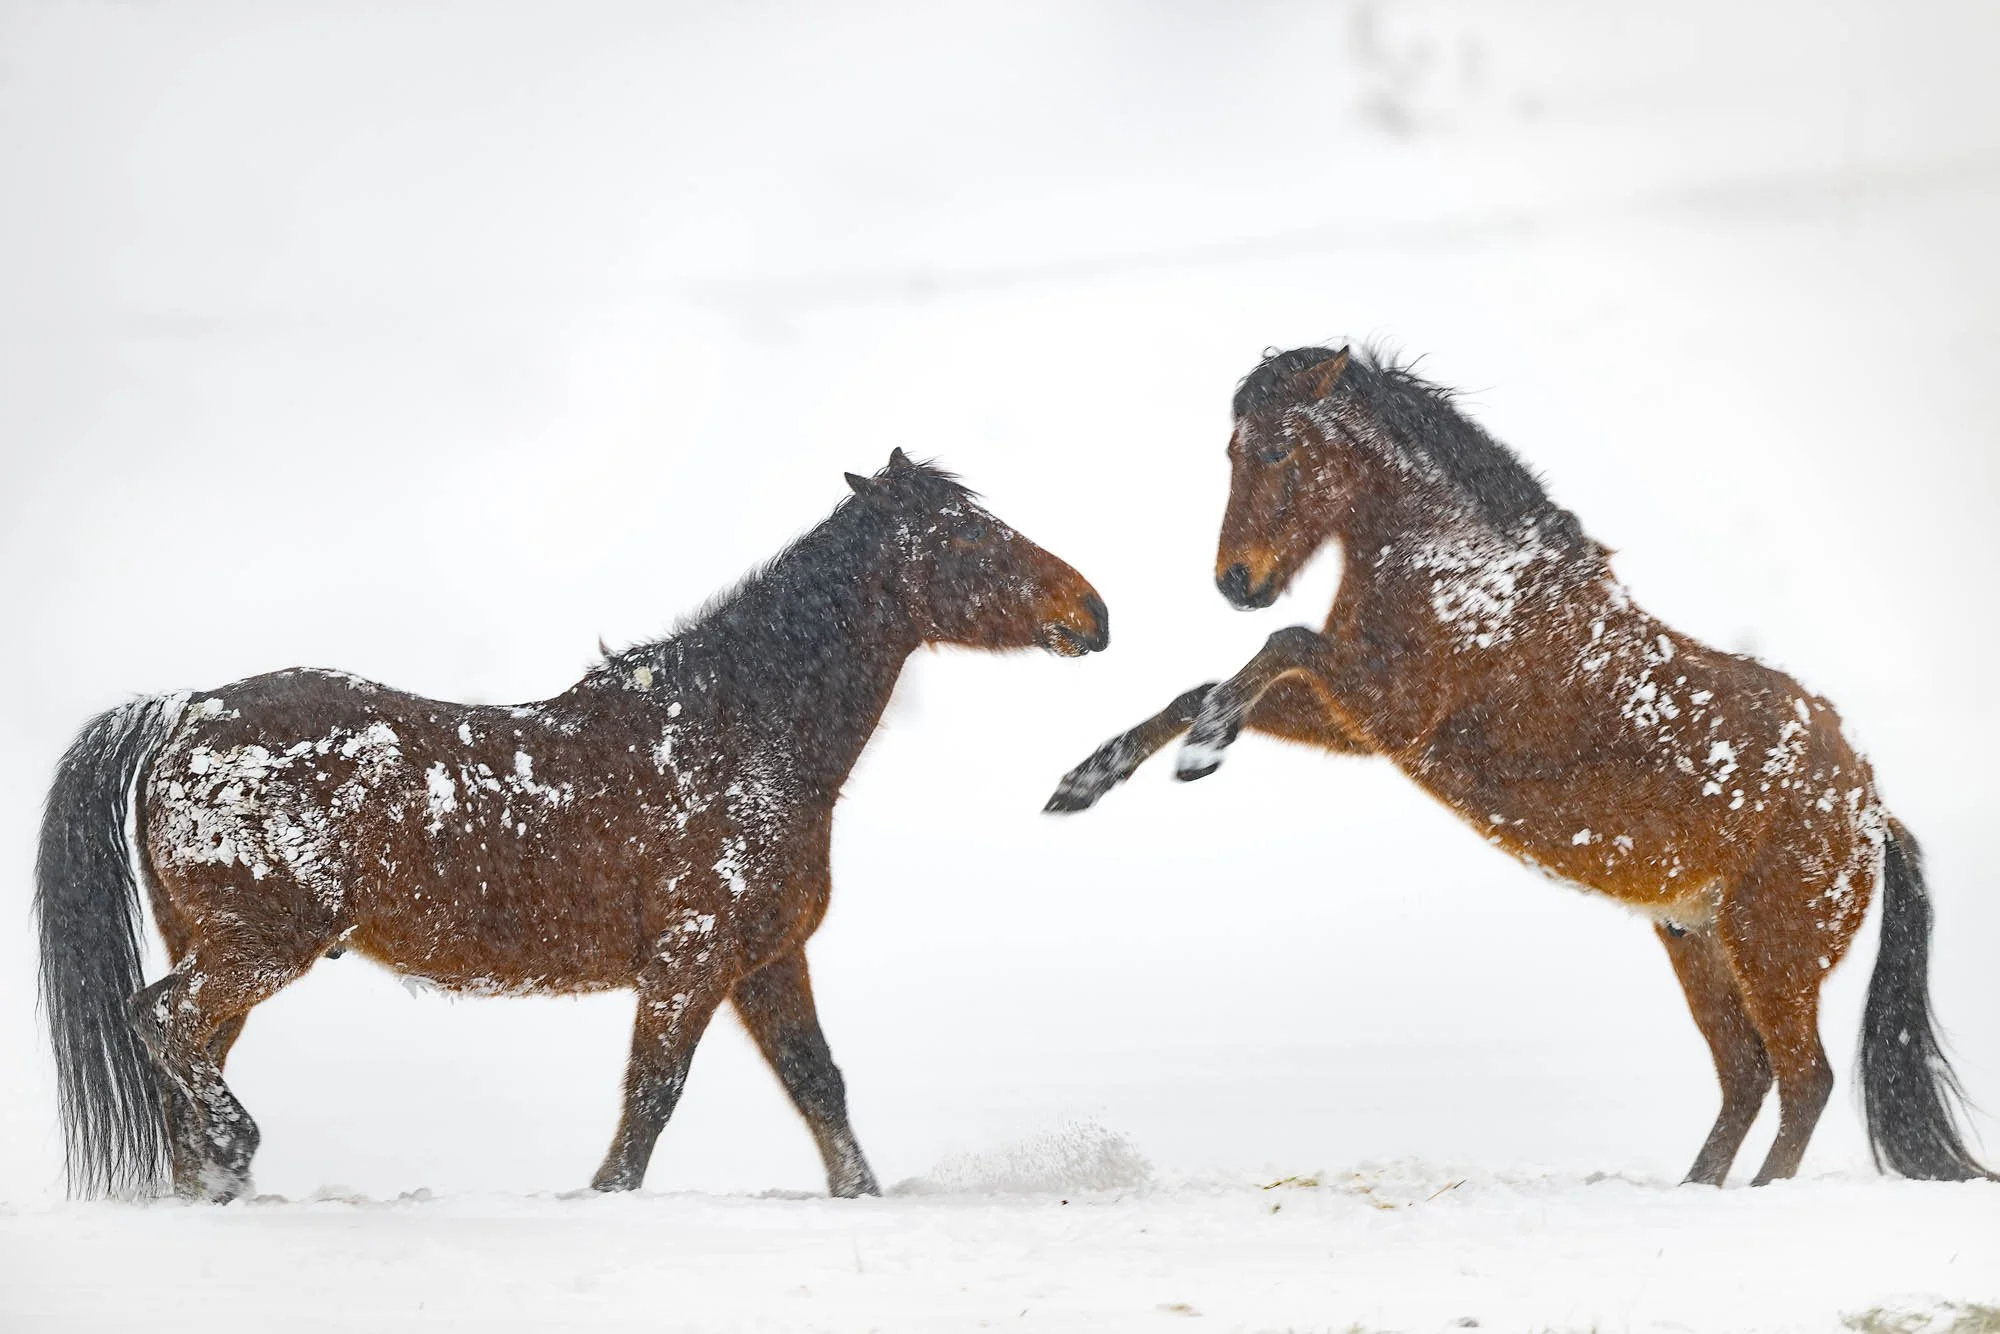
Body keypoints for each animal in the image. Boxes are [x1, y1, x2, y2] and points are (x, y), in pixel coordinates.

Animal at [37, 449, 1109, 1203]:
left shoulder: (766, 960)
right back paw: (237, 1150)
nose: (1093, 612)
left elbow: (820, 1088)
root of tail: (186, 711)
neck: (736, 732)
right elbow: (651, 1100)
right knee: (162, 1023)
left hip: (224, 948)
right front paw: (601, 1200)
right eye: (965, 539)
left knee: (185, 1058)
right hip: (262, 945)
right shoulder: (690, 961)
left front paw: (861, 1194)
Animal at [1047, 345, 1991, 1187]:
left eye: (1278, 449)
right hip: (1697, 941)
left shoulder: (1388, 707)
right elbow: (1209, 684)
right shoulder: (1360, 723)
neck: (1464, 570)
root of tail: (1871, 811)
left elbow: (1282, 645)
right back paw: (1692, 1192)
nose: (1235, 582)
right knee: (1748, 1078)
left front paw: (1203, 750)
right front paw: (1087, 780)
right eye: (1232, 453)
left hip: (1772, 953)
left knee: (1805, 1082)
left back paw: (1758, 1199)